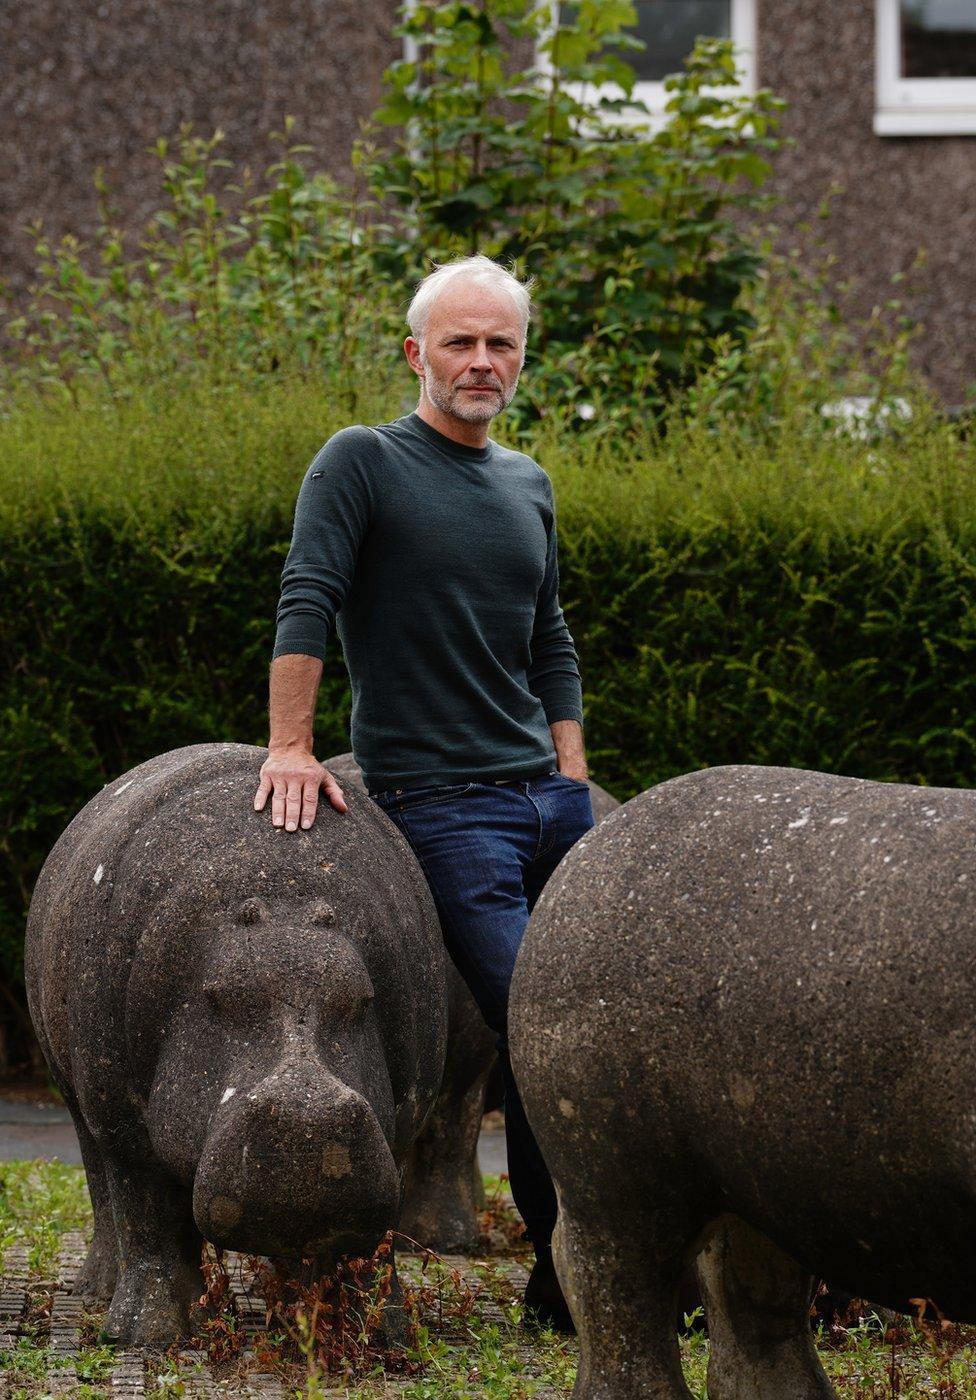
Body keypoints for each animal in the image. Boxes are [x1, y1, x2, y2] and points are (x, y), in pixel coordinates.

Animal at [25, 744, 445, 1344]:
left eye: (361, 996)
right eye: (218, 995)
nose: (305, 1120)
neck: (285, 889)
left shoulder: (407, 1115)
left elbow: (377, 1242)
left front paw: (379, 1332)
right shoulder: (120, 1111)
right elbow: (145, 1212)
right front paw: (146, 1336)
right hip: (76, 1094)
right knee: (104, 1189)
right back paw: (98, 1293)